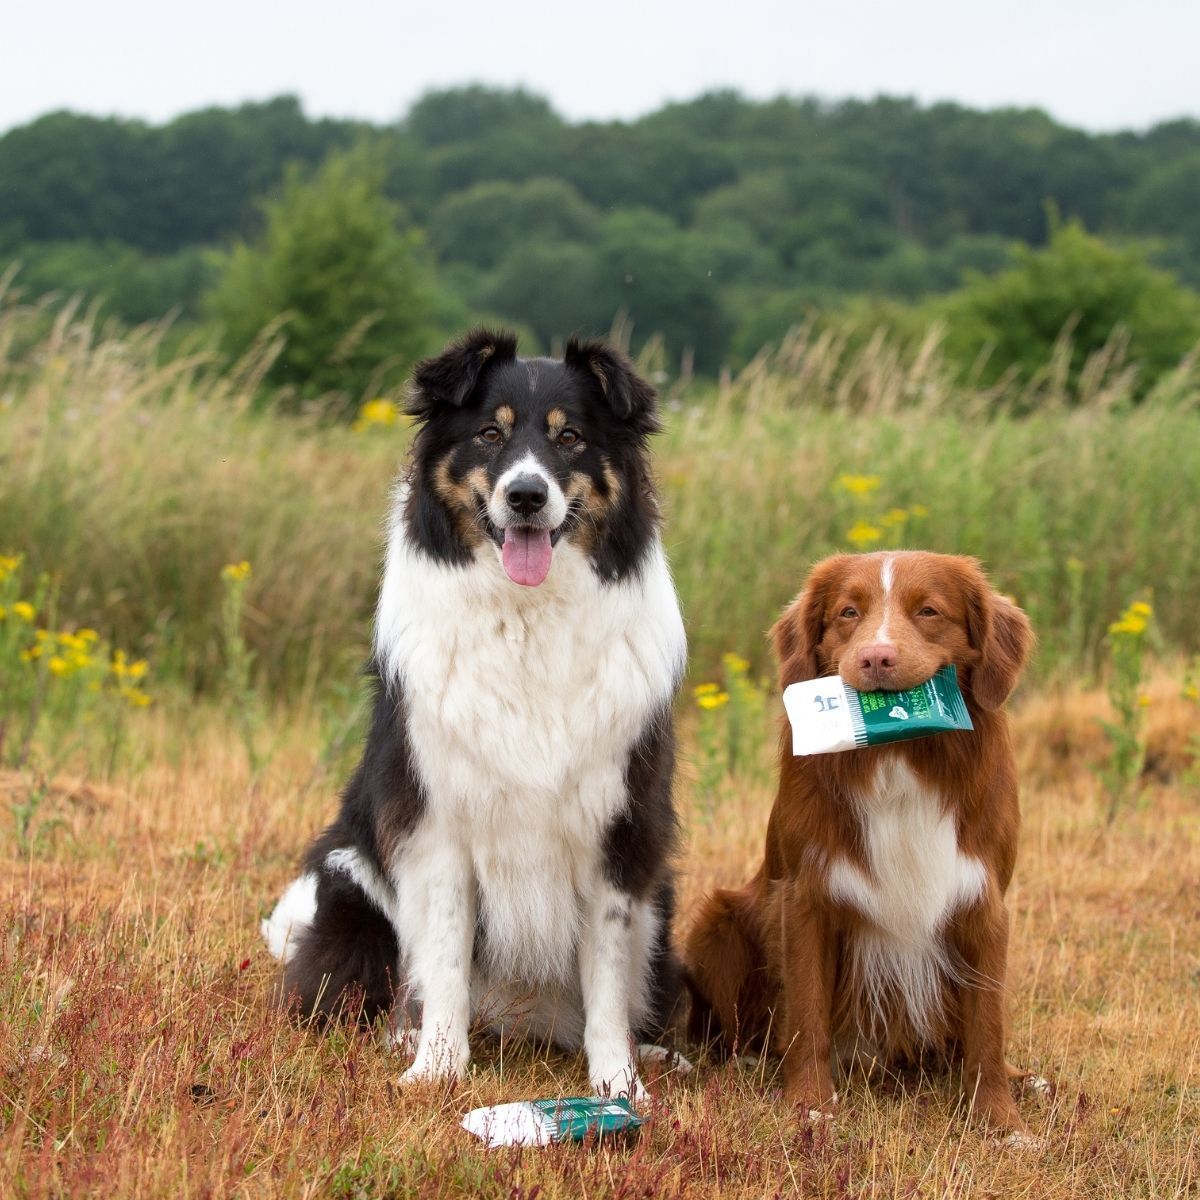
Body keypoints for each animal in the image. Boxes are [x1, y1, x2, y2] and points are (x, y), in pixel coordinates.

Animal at [266, 333, 691, 1099]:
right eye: (490, 434)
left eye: (570, 437)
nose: (525, 495)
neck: (526, 616)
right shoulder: (437, 828)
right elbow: (444, 963)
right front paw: (437, 1067)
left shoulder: (617, 833)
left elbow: (608, 981)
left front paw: (616, 1085)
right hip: (348, 883)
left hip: (661, 897)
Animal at [686, 549, 1032, 1128]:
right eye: (849, 612)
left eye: (929, 611)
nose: (876, 658)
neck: (897, 756)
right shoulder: (806, 897)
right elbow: (808, 1010)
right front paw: (808, 1103)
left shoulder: (984, 900)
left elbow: (987, 1023)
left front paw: (998, 1117)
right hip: (717, 923)